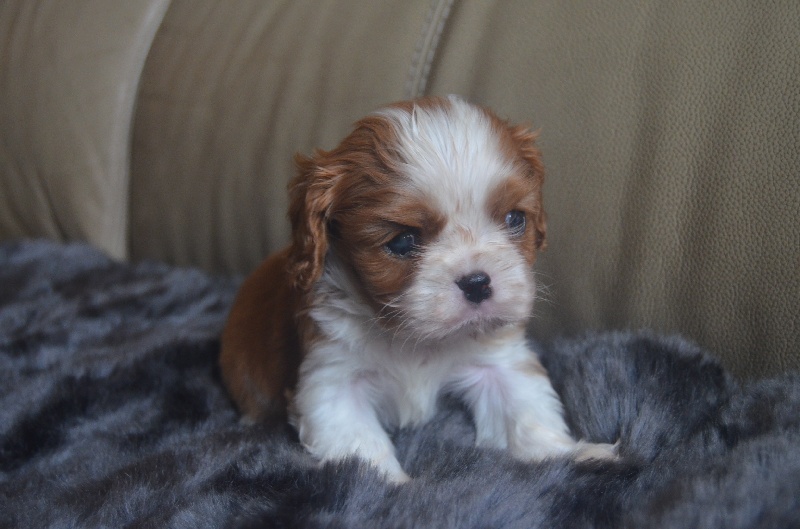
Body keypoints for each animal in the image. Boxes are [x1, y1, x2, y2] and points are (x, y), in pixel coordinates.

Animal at [222, 96, 616, 482]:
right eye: (402, 241)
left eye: (515, 219)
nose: (477, 282)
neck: (414, 338)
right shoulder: (332, 380)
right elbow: (361, 454)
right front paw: (389, 488)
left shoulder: (499, 362)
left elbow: (527, 411)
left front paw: (572, 454)